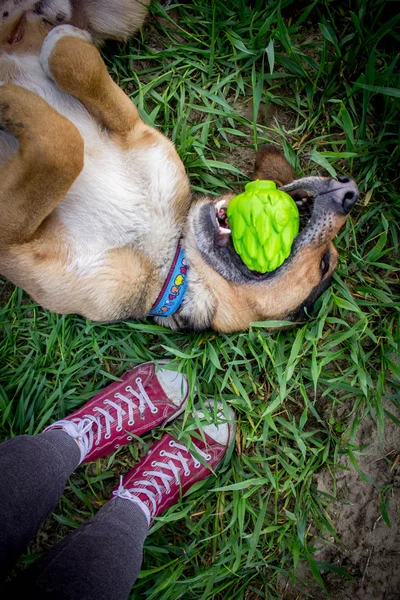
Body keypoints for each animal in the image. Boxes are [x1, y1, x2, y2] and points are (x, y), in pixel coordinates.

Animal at [0, 1, 358, 332]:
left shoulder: (16, 241)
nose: (348, 188)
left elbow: (63, 145)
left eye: (324, 264)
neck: (163, 257)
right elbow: (79, 69)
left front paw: (8, 92)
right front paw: (62, 40)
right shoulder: (137, 133)